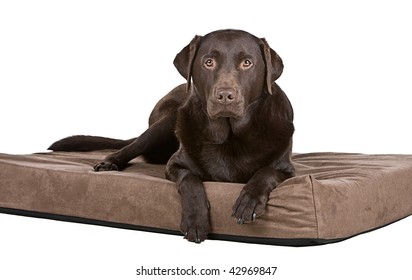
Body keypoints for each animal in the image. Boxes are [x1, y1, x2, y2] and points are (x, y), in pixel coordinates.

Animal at [50, 29, 296, 243]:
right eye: (208, 62)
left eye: (247, 63)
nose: (225, 96)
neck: (229, 137)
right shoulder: (174, 165)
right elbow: (190, 179)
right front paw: (195, 220)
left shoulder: (287, 170)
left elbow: (266, 172)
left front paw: (249, 200)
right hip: (166, 121)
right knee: (131, 146)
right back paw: (109, 162)